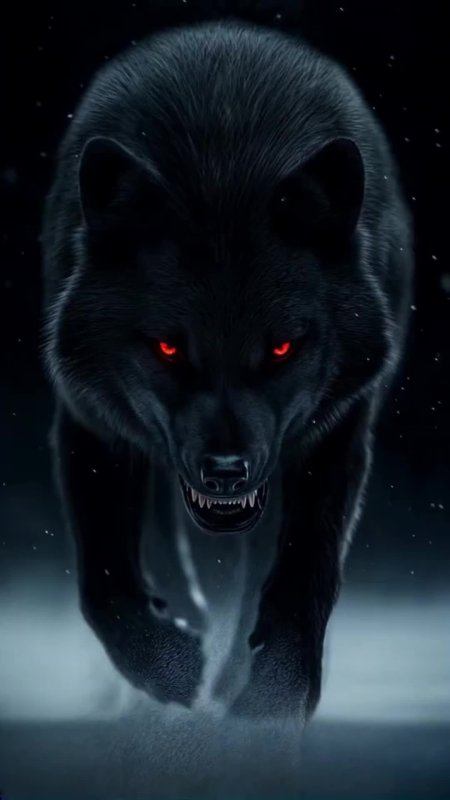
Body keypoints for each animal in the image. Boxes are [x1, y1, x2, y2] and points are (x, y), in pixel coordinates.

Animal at [41, 17, 413, 722]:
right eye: (167, 348)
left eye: (282, 349)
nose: (225, 471)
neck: (223, 167)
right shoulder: (89, 423)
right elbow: (103, 583)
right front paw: (172, 668)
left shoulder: (340, 430)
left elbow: (304, 572)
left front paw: (272, 699)